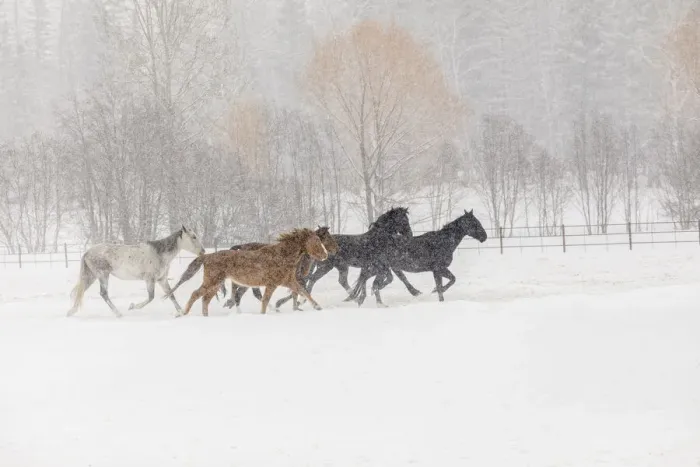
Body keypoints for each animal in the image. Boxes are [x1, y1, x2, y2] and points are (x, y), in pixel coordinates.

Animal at [66, 225, 206, 318]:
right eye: (193, 237)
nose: (203, 251)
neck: (159, 254)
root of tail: (87, 252)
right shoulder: (150, 280)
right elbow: (151, 297)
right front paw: (132, 306)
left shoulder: (162, 279)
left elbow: (171, 295)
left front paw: (181, 312)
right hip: (103, 275)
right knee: (103, 293)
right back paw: (118, 314)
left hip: (91, 276)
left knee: (82, 292)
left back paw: (71, 312)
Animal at [164, 228, 329, 317]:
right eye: (316, 241)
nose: (326, 255)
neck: (282, 255)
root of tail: (207, 256)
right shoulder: (272, 284)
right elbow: (265, 301)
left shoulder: (289, 281)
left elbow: (304, 291)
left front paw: (318, 307)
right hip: (212, 282)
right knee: (196, 295)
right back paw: (182, 313)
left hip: (215, 284)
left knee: (205, 299)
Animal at [284, 206, 423, 308]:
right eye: (403, 220)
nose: (409, 234)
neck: (378, 239)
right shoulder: (381, 266)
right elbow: (384, 279)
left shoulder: (381, 266)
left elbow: (389, 278)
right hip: (326, 266)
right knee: (312, 279)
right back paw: (303, 300)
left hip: (341, 267)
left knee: (340, 281)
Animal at [344, 209, 487, 305]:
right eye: (475, 223)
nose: (484, 237)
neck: (443, 242)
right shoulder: (437, 269)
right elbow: (444, 285)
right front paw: (438, 294)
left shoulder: (440, 269)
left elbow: (451, 280)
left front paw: (436, 291)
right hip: (379, 268)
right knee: (369, 281)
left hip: (380, 268)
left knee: (366, 280)